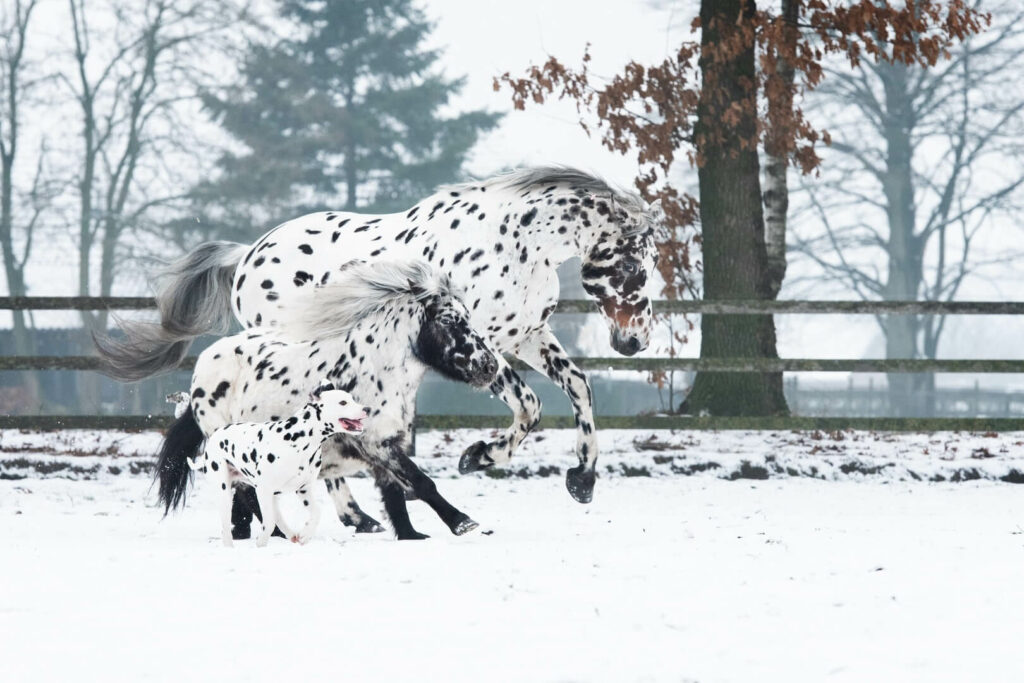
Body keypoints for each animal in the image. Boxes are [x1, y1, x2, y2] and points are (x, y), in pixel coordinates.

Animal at [152, 260, 499, 540]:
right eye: (449, 320)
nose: (489, 367)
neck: (375, 368)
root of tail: (203, 365)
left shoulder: (386, 443)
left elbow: (394, 493)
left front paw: (410, 535)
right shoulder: (377, 442)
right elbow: (420, 482)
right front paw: (462, 522)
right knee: (248, 493)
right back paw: (279, 532)